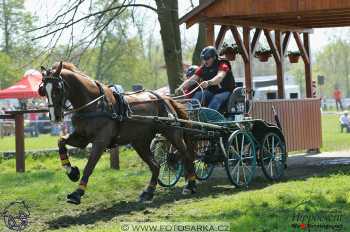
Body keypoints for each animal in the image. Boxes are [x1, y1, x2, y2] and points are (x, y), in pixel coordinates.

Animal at [39, 62, 197, 205]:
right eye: (43, 90)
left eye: (58, 88)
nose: (55, 117)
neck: (95, 104)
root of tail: (164, 98)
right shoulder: (81, 138)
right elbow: (61, 141)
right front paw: (71, 171)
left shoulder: (100, 142)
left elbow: (89, 166)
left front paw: (77, 193)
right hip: (140, 142)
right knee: (156, 165)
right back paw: (148, 192)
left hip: (172, 134)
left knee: (186, 155)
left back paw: (190, 185)